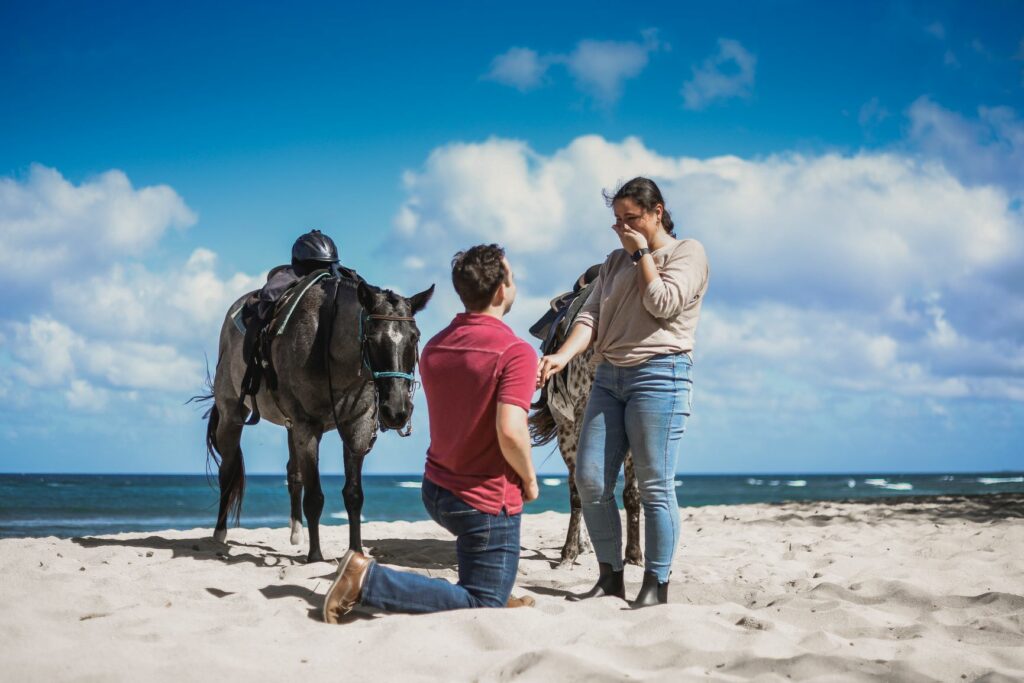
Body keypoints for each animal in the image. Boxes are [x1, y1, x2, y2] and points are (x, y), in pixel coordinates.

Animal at [203, 274, 432, 565]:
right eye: (371, 337)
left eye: (415, 337)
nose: (396, 410)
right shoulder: (308, 427)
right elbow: (314, 497)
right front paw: (315, 557)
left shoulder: (357, 428)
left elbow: (353, 495)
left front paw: (355, 552)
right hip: (232, 417)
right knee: (228, 471)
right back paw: (219, 534)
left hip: (290, 427)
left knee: (293, 472)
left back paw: (296, 533)